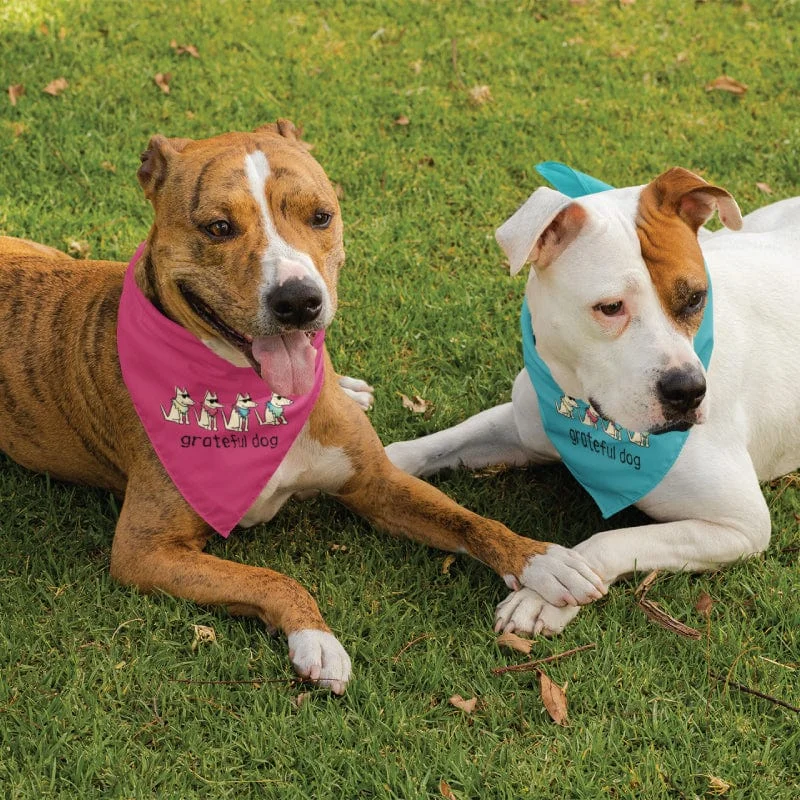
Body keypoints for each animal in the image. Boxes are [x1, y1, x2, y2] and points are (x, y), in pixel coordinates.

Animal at [384, 167, 796, 636]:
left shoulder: (740, 525)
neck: (588, 415)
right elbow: (436, 444)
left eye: (695, 298)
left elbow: (611, 540)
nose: (688, 391)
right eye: (611, 307)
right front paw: (380, 461)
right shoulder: (524, 425)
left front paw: (542, 595)